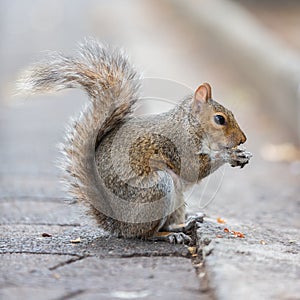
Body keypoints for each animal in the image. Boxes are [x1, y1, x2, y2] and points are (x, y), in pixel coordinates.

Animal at [17, 38, 252, 244]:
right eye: (220, 119)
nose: (243, 139)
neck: (189, 125)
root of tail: (119, 223)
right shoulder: (180, 144)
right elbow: (193, 169)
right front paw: (230, 154)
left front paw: (243, 154)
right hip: (157, 189)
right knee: (144, 234)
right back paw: (169, 235)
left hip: (176, 199)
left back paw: (184, 224)